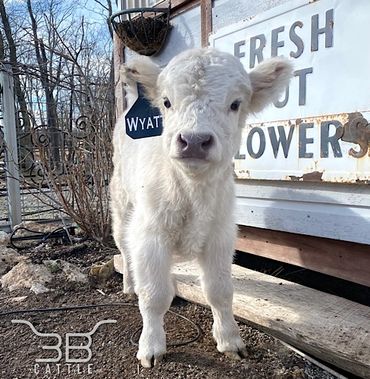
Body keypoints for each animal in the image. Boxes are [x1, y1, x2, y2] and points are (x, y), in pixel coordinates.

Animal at [110, 47, 292, 368]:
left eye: (235, 104)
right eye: (167, 102)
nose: (194, 141)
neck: (192, 193)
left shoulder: (220, 235)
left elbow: (220, 291)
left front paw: (230, 340)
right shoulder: (150, 236)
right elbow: (153, 295)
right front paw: (151, 347)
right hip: (121, 206)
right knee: (124, 250)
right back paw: (129, 285)